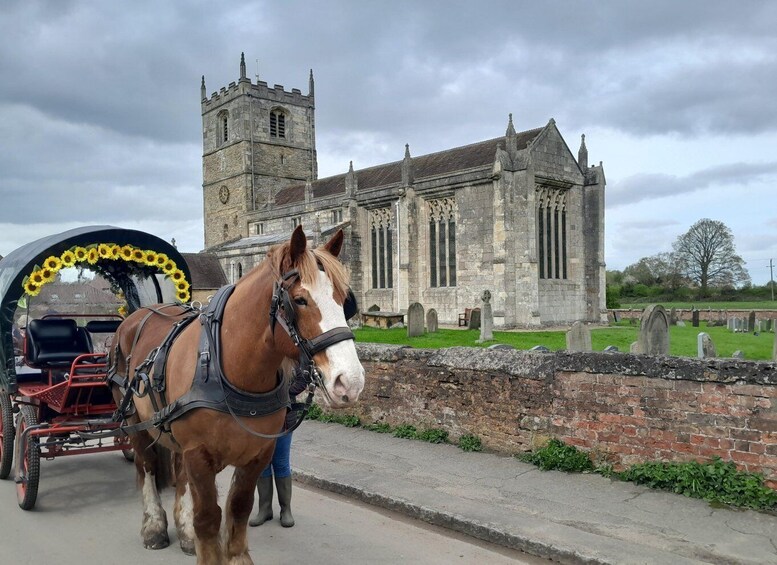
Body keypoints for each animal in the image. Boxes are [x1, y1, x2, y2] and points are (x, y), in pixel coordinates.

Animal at [107, 226, 366, 564]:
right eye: (299, 300)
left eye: (344, 300)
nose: (350, 382)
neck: (228, 366)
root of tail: (136, 315)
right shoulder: (198, 454)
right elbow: (208, 518)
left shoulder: (257, 454)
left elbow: (239, 508)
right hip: (134, 420)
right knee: (145, 464)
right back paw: (154, 526)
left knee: (177, 470)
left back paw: (184, 531)